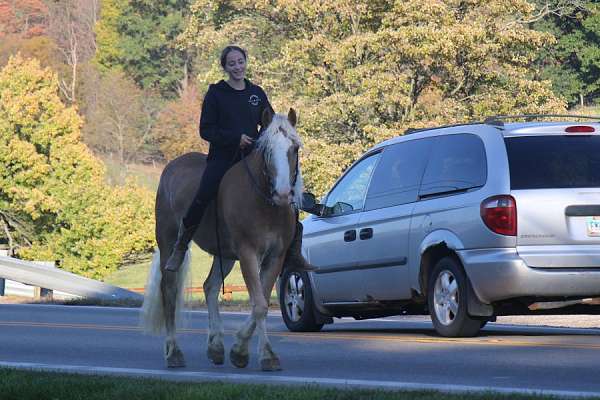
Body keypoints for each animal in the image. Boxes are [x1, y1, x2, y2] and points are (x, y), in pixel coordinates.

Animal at [139, 107, 300, 372]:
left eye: (294, 148)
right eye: (267, 150)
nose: (283, 194)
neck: (265, 203)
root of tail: (170, 167)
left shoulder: (275, 257)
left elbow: (263, 301)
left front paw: (240, 349)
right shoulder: (247, 253)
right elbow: (259, 304)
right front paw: (264, 354)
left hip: (224, 255)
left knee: (210, 286)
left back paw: (215, 347)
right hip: (168, 242)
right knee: (169, 289)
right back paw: (173, 352)